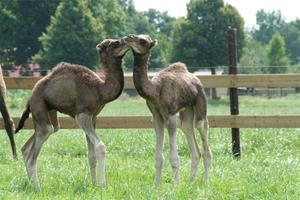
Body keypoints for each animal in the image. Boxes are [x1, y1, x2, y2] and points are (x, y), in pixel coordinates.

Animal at [14, 38, 130, 189]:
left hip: (49, 112)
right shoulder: (82, 115)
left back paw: (31, 184)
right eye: (114, 43)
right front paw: (102, 186)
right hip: (39, 106)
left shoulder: (93, 117)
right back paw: (38, 188)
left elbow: (91, 154)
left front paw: (94, 185)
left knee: (30, 144)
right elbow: (100, 147)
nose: (127, 41)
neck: (99, 89)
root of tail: (29, 99)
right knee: (36, 147)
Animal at [123, 34, 211, 186]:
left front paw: (176, 186)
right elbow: (158, 158)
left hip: (200, 104)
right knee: (190, 135)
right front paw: (156, 186)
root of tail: (196, 80)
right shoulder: (157, 117)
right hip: (187, 111)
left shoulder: (170, 116)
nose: (127, 37)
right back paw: (190, 183)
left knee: (203, 134)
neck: (155, 90)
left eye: (143, 41)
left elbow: (174, 158)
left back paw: (205, 182)